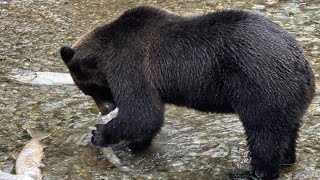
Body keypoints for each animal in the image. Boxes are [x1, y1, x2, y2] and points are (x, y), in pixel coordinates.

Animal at [60, 5, 316, 180]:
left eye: (90, 89)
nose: (107, 109)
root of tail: (303, 65)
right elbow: (149, 118)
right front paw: (132, 145)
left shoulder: (132, 64)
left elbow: (142, 112)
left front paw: (99, 133)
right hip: (288, 97)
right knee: (287, 131)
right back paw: (287, 159)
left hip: (261, 86)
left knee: (263, 135)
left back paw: (251, 172)